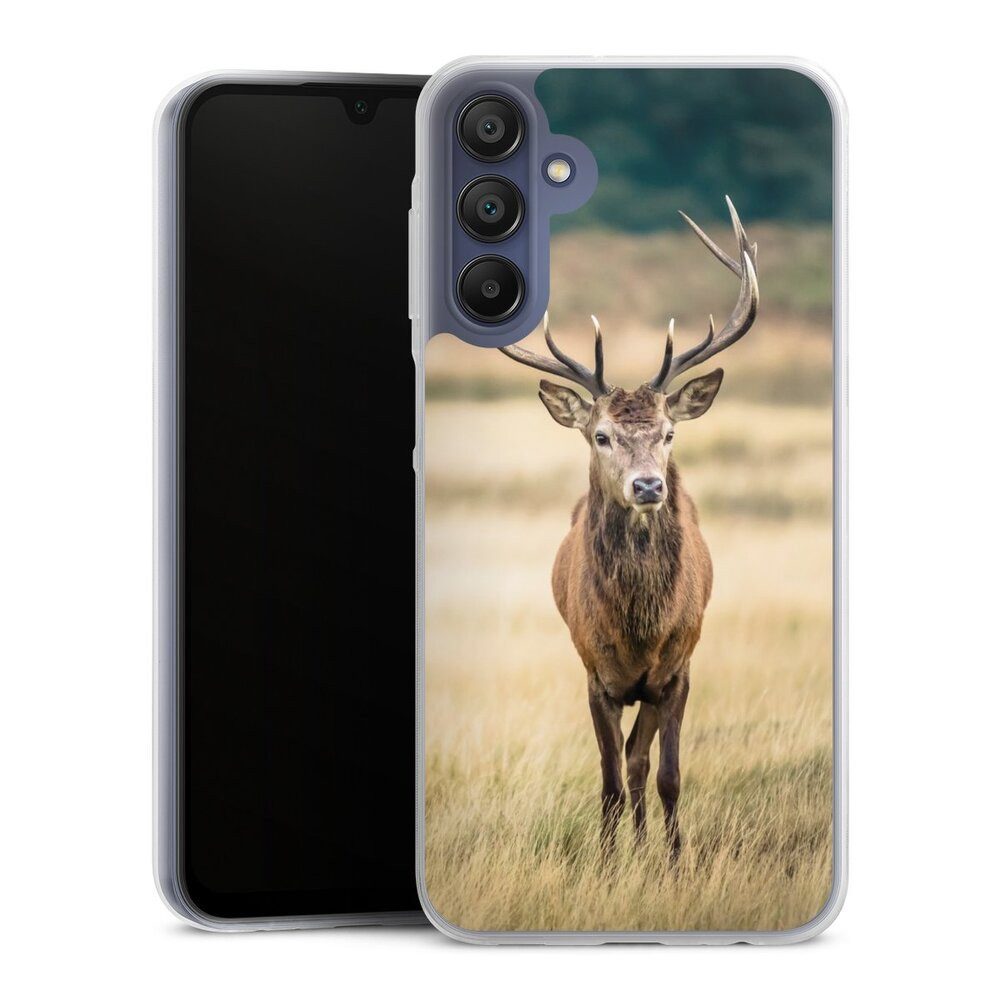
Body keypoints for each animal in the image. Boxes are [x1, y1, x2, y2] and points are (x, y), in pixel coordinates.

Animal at [498, 197, 759, 863]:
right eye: (601, 435)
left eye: (668, 433)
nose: (647, 486)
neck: (641, 629)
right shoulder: (596, 672)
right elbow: (610, 778)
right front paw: (609, 861)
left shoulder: (679, 668)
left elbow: (665, 773)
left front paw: (673, 860)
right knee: (624, 766)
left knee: (642, 763)